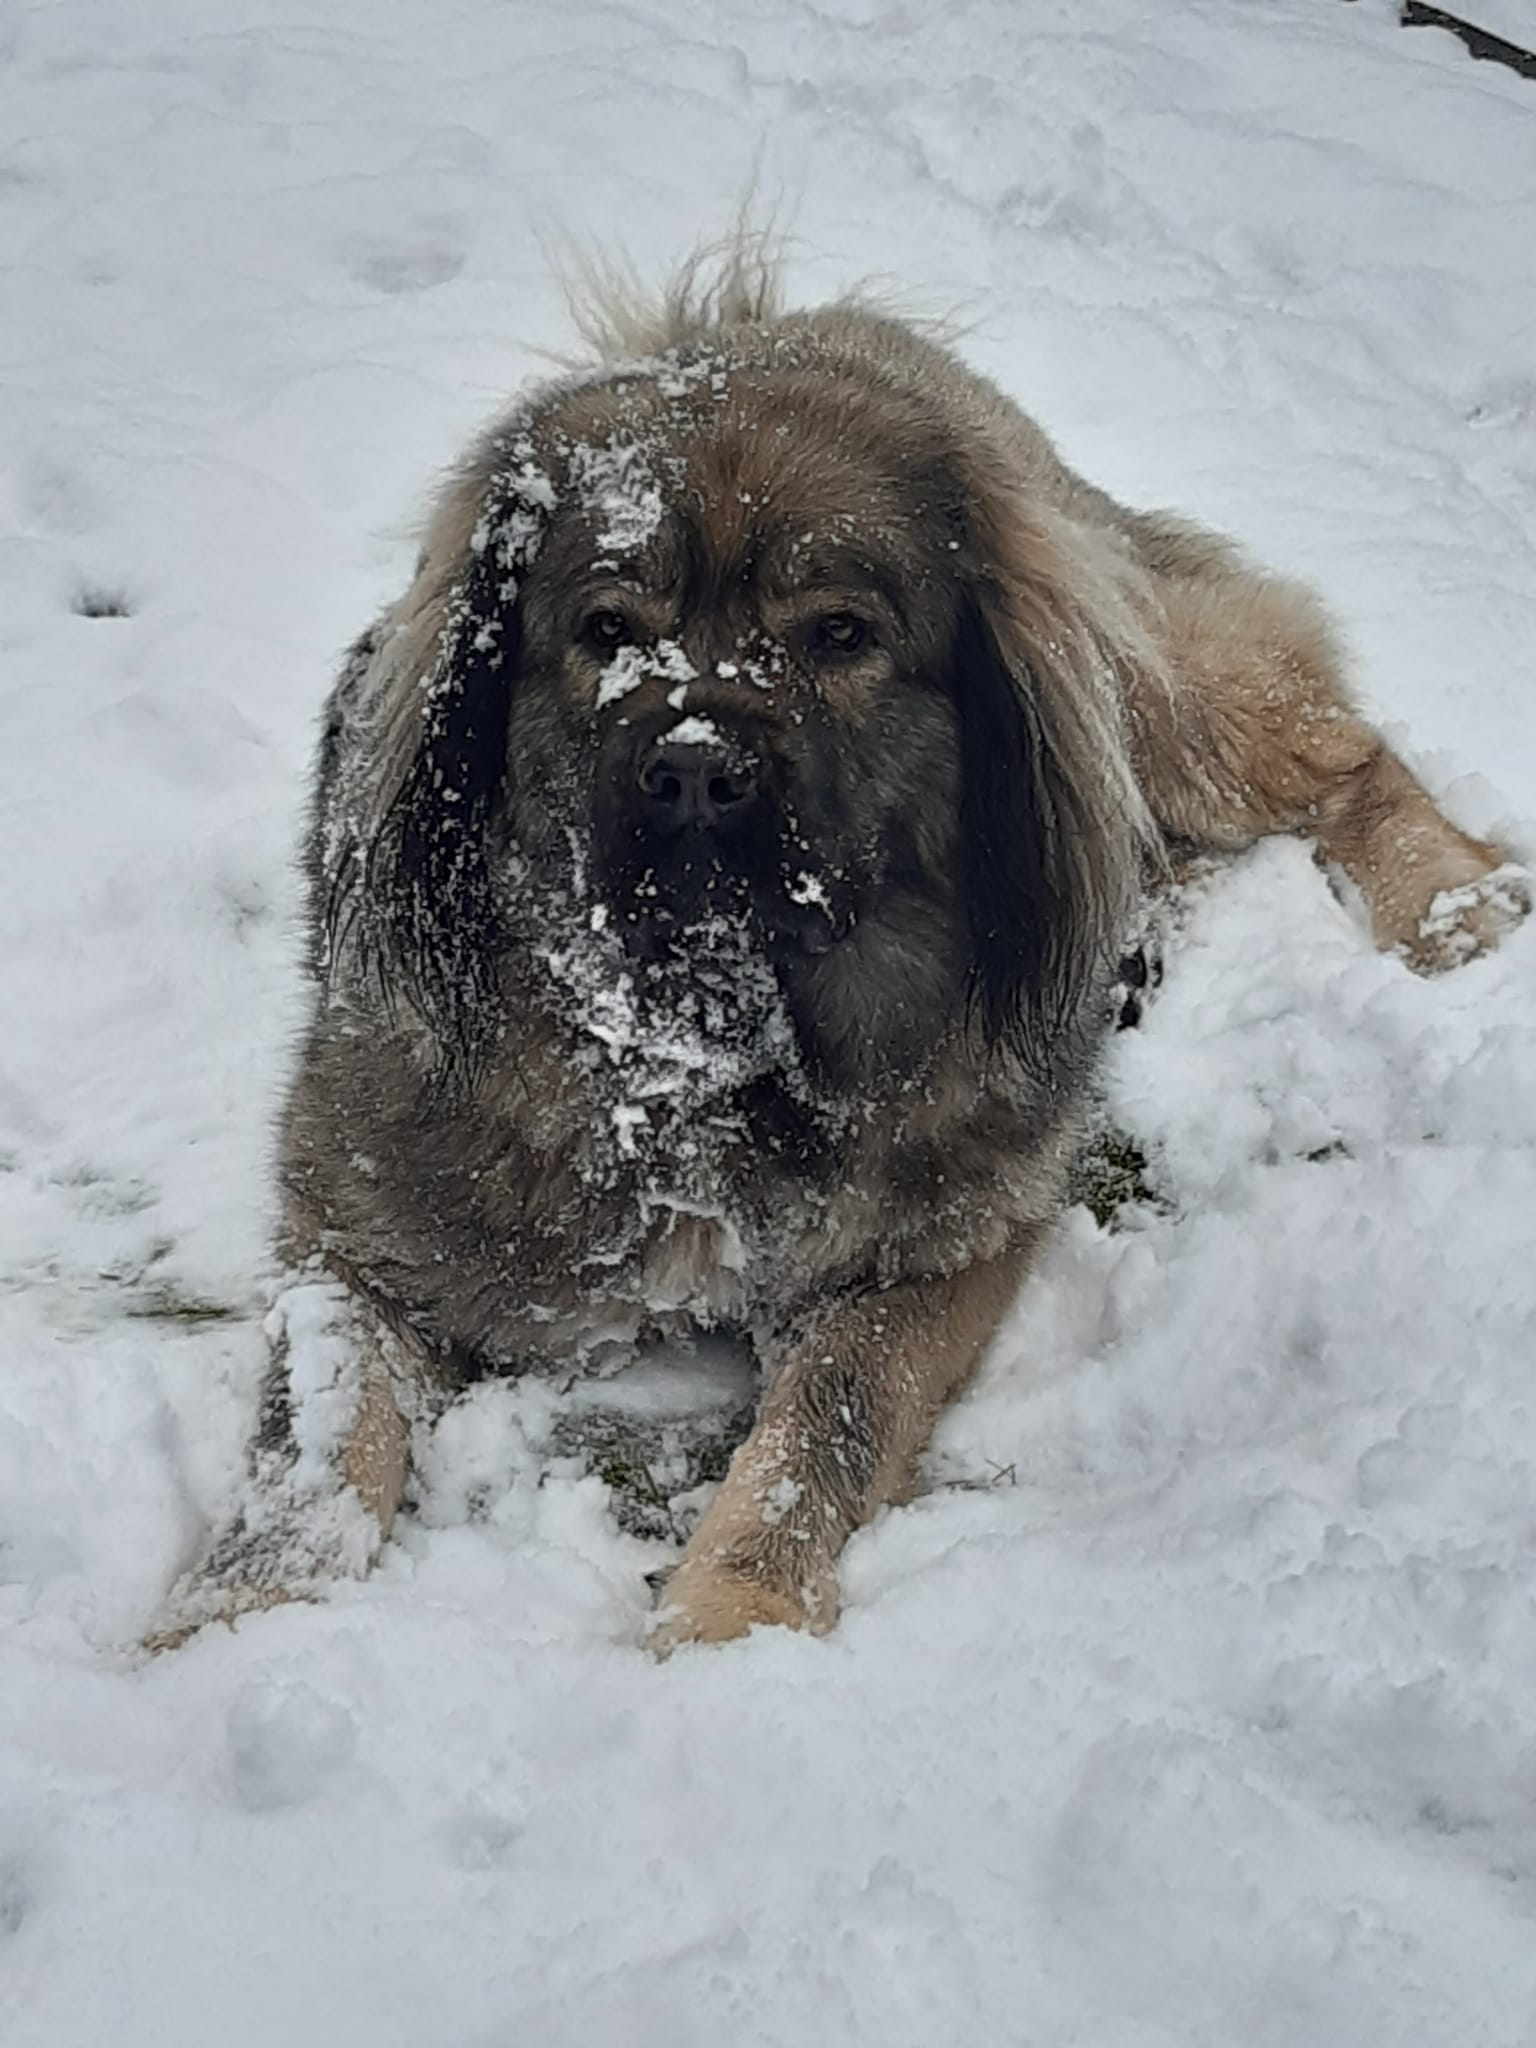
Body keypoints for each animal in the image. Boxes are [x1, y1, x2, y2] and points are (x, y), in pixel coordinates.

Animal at [156, 242, 1526, 1650]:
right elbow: (313, 1430)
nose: (694, 770)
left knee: (1332, 757)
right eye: (606, 631)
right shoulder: (359, 1229)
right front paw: (241, 1608)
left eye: (838, 635)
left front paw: (729, 1608)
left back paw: (1450, 908)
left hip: (1152, 688)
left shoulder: (931, 1252)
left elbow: (826, 1421)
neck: (702, 1042)